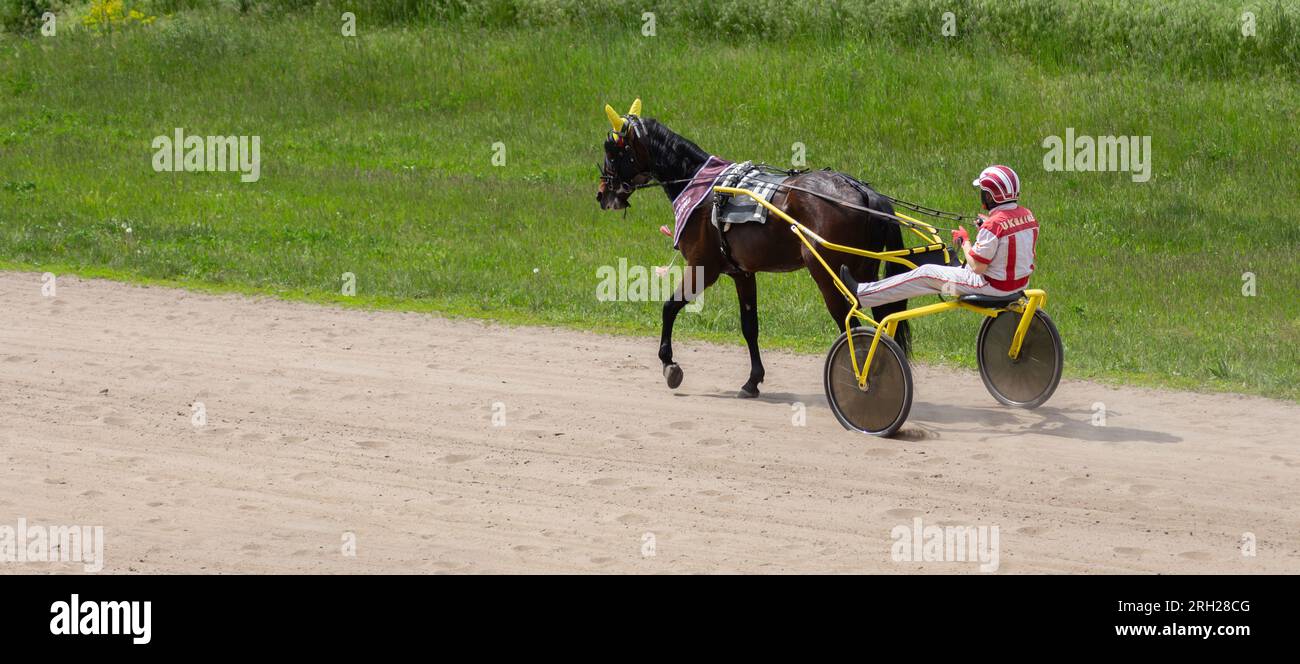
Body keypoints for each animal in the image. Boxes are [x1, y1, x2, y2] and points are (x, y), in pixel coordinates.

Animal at [595, 98, 909, 397]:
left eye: (612, 152)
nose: (601, 195)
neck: (703, 186)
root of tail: (863, 192)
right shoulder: (742, 273)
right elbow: (749, 326)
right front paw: (752, 380)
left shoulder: (703, 267)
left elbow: (670, 306)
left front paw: (669, 363)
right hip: (863, 271)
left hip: (826, 274)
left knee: (851, 327)